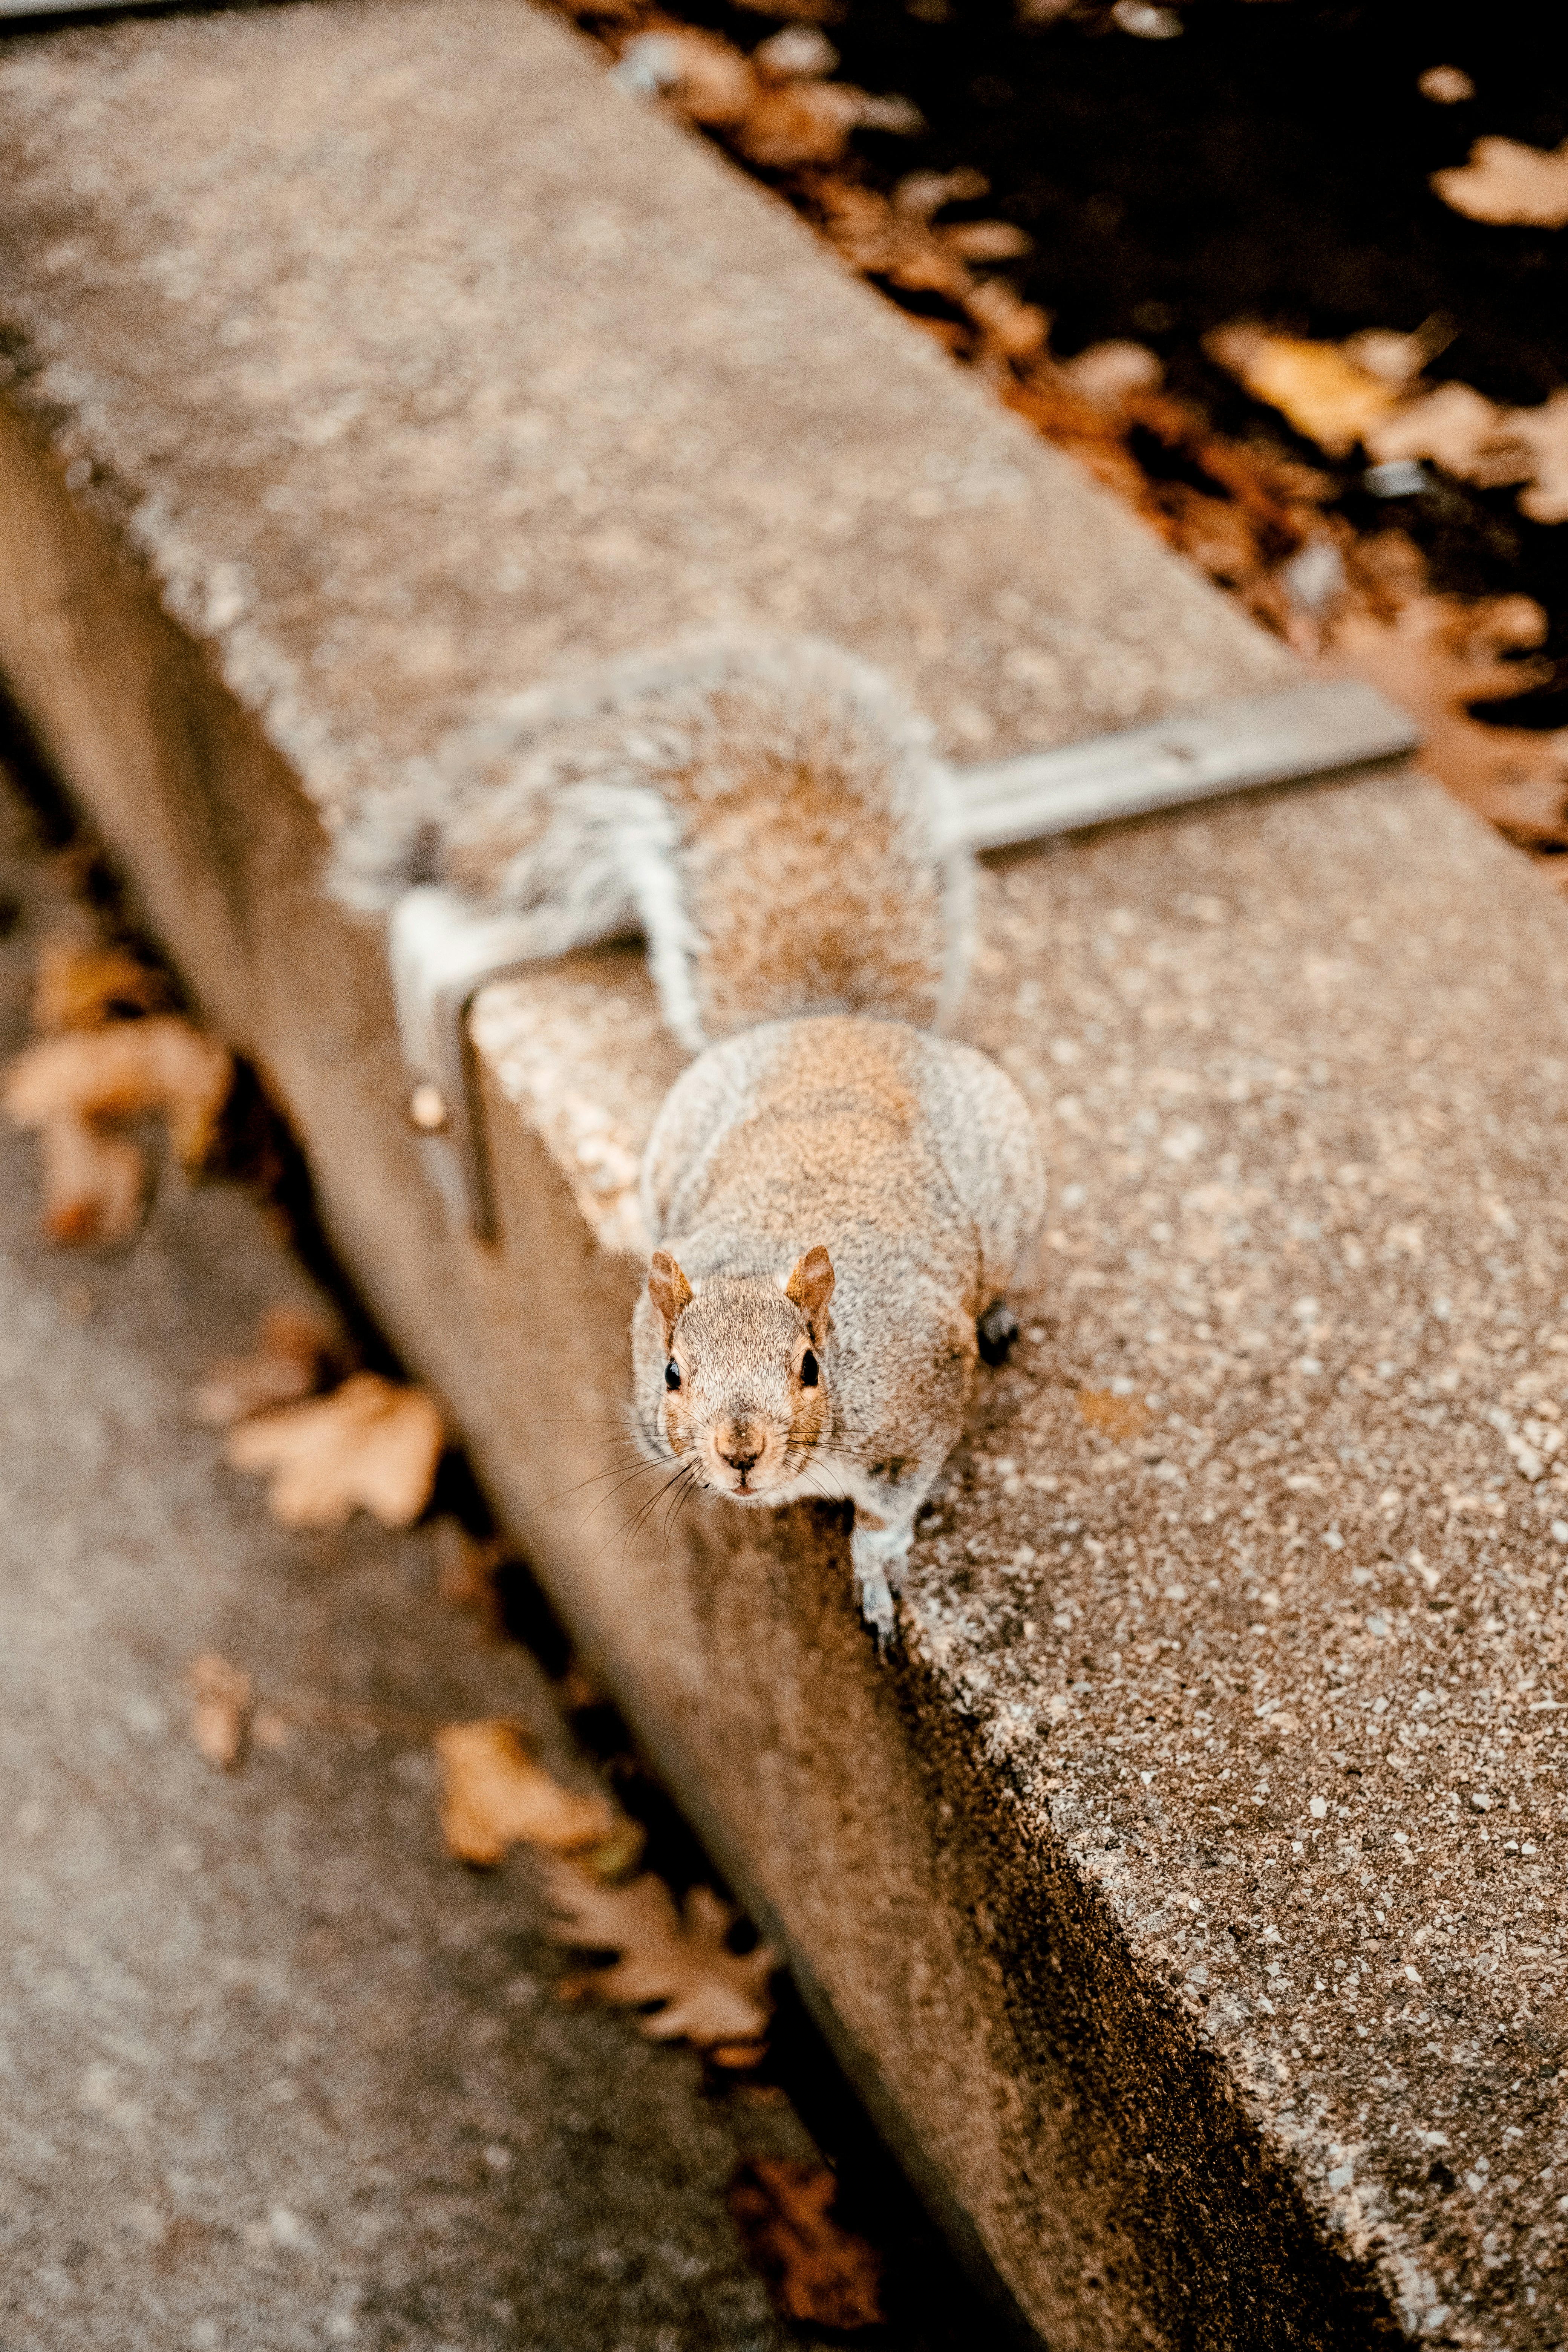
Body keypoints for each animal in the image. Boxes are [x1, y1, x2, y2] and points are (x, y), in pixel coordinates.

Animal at [338, 635, 1045, 1643]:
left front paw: (874, 1567)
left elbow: (890, 1506)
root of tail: (829, 1023)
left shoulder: (922, 1396)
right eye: (673, 1373)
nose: (738, 1449)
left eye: (809, 1367)